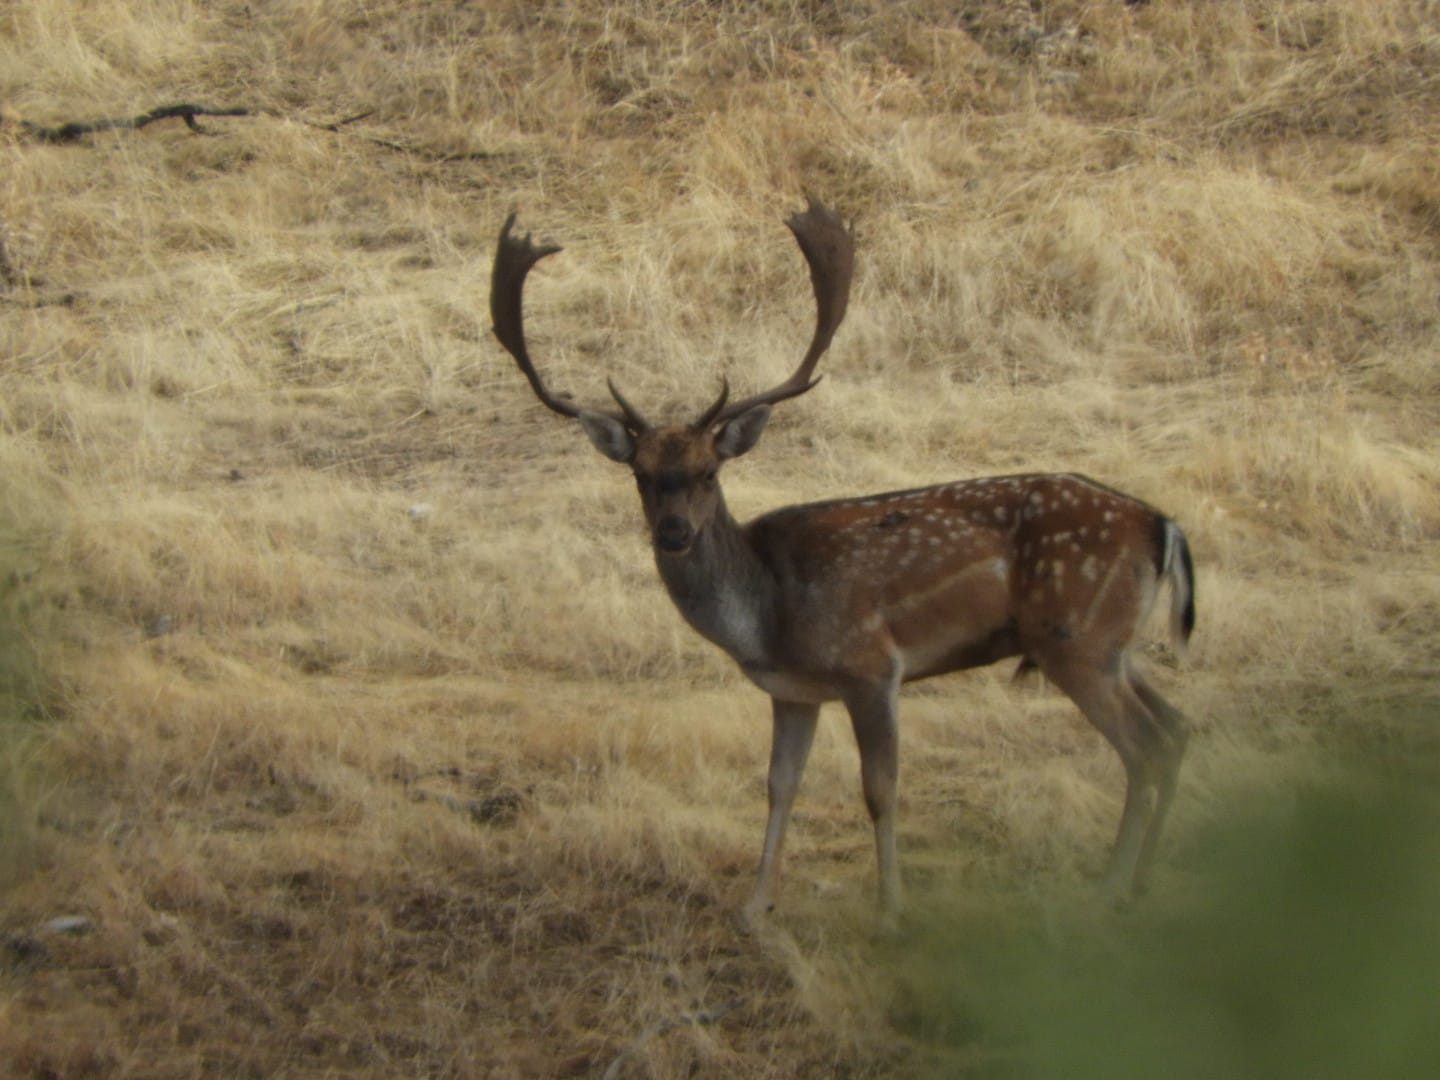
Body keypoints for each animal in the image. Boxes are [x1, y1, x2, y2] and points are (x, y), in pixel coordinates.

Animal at [489, 198, 1194, 926]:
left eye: (710, 471)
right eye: (641, 474)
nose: (675, 532)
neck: (769, 614)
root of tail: (1161, 525)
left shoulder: (872, 667)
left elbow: (879, 788)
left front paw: (889, 912)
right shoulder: (793, 691)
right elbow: (779, 785)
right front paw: (755, 908)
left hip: (1076, 639)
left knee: (1145, 747)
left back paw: (1110, 889)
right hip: (1112, 644)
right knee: (1178, 729)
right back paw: (1145, 880)